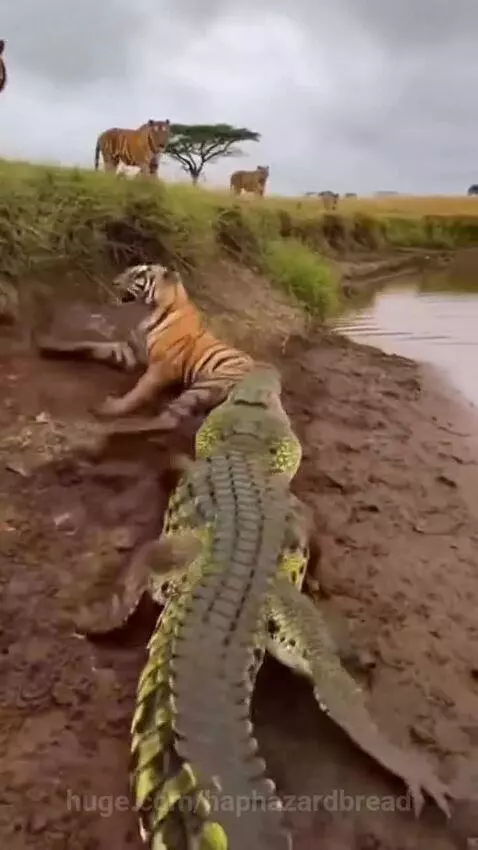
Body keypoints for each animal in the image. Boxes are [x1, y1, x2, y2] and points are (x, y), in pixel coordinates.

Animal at [34, 264, 255, 437]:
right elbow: (94, 345)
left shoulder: (161, 367)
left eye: (137, 275)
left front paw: (114, 407)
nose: (114, 282)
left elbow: (138, 392)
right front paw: (48, 346)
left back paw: (113, 424)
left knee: (169, 419)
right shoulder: (131, 350)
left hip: (205, 385)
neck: (149, 312)